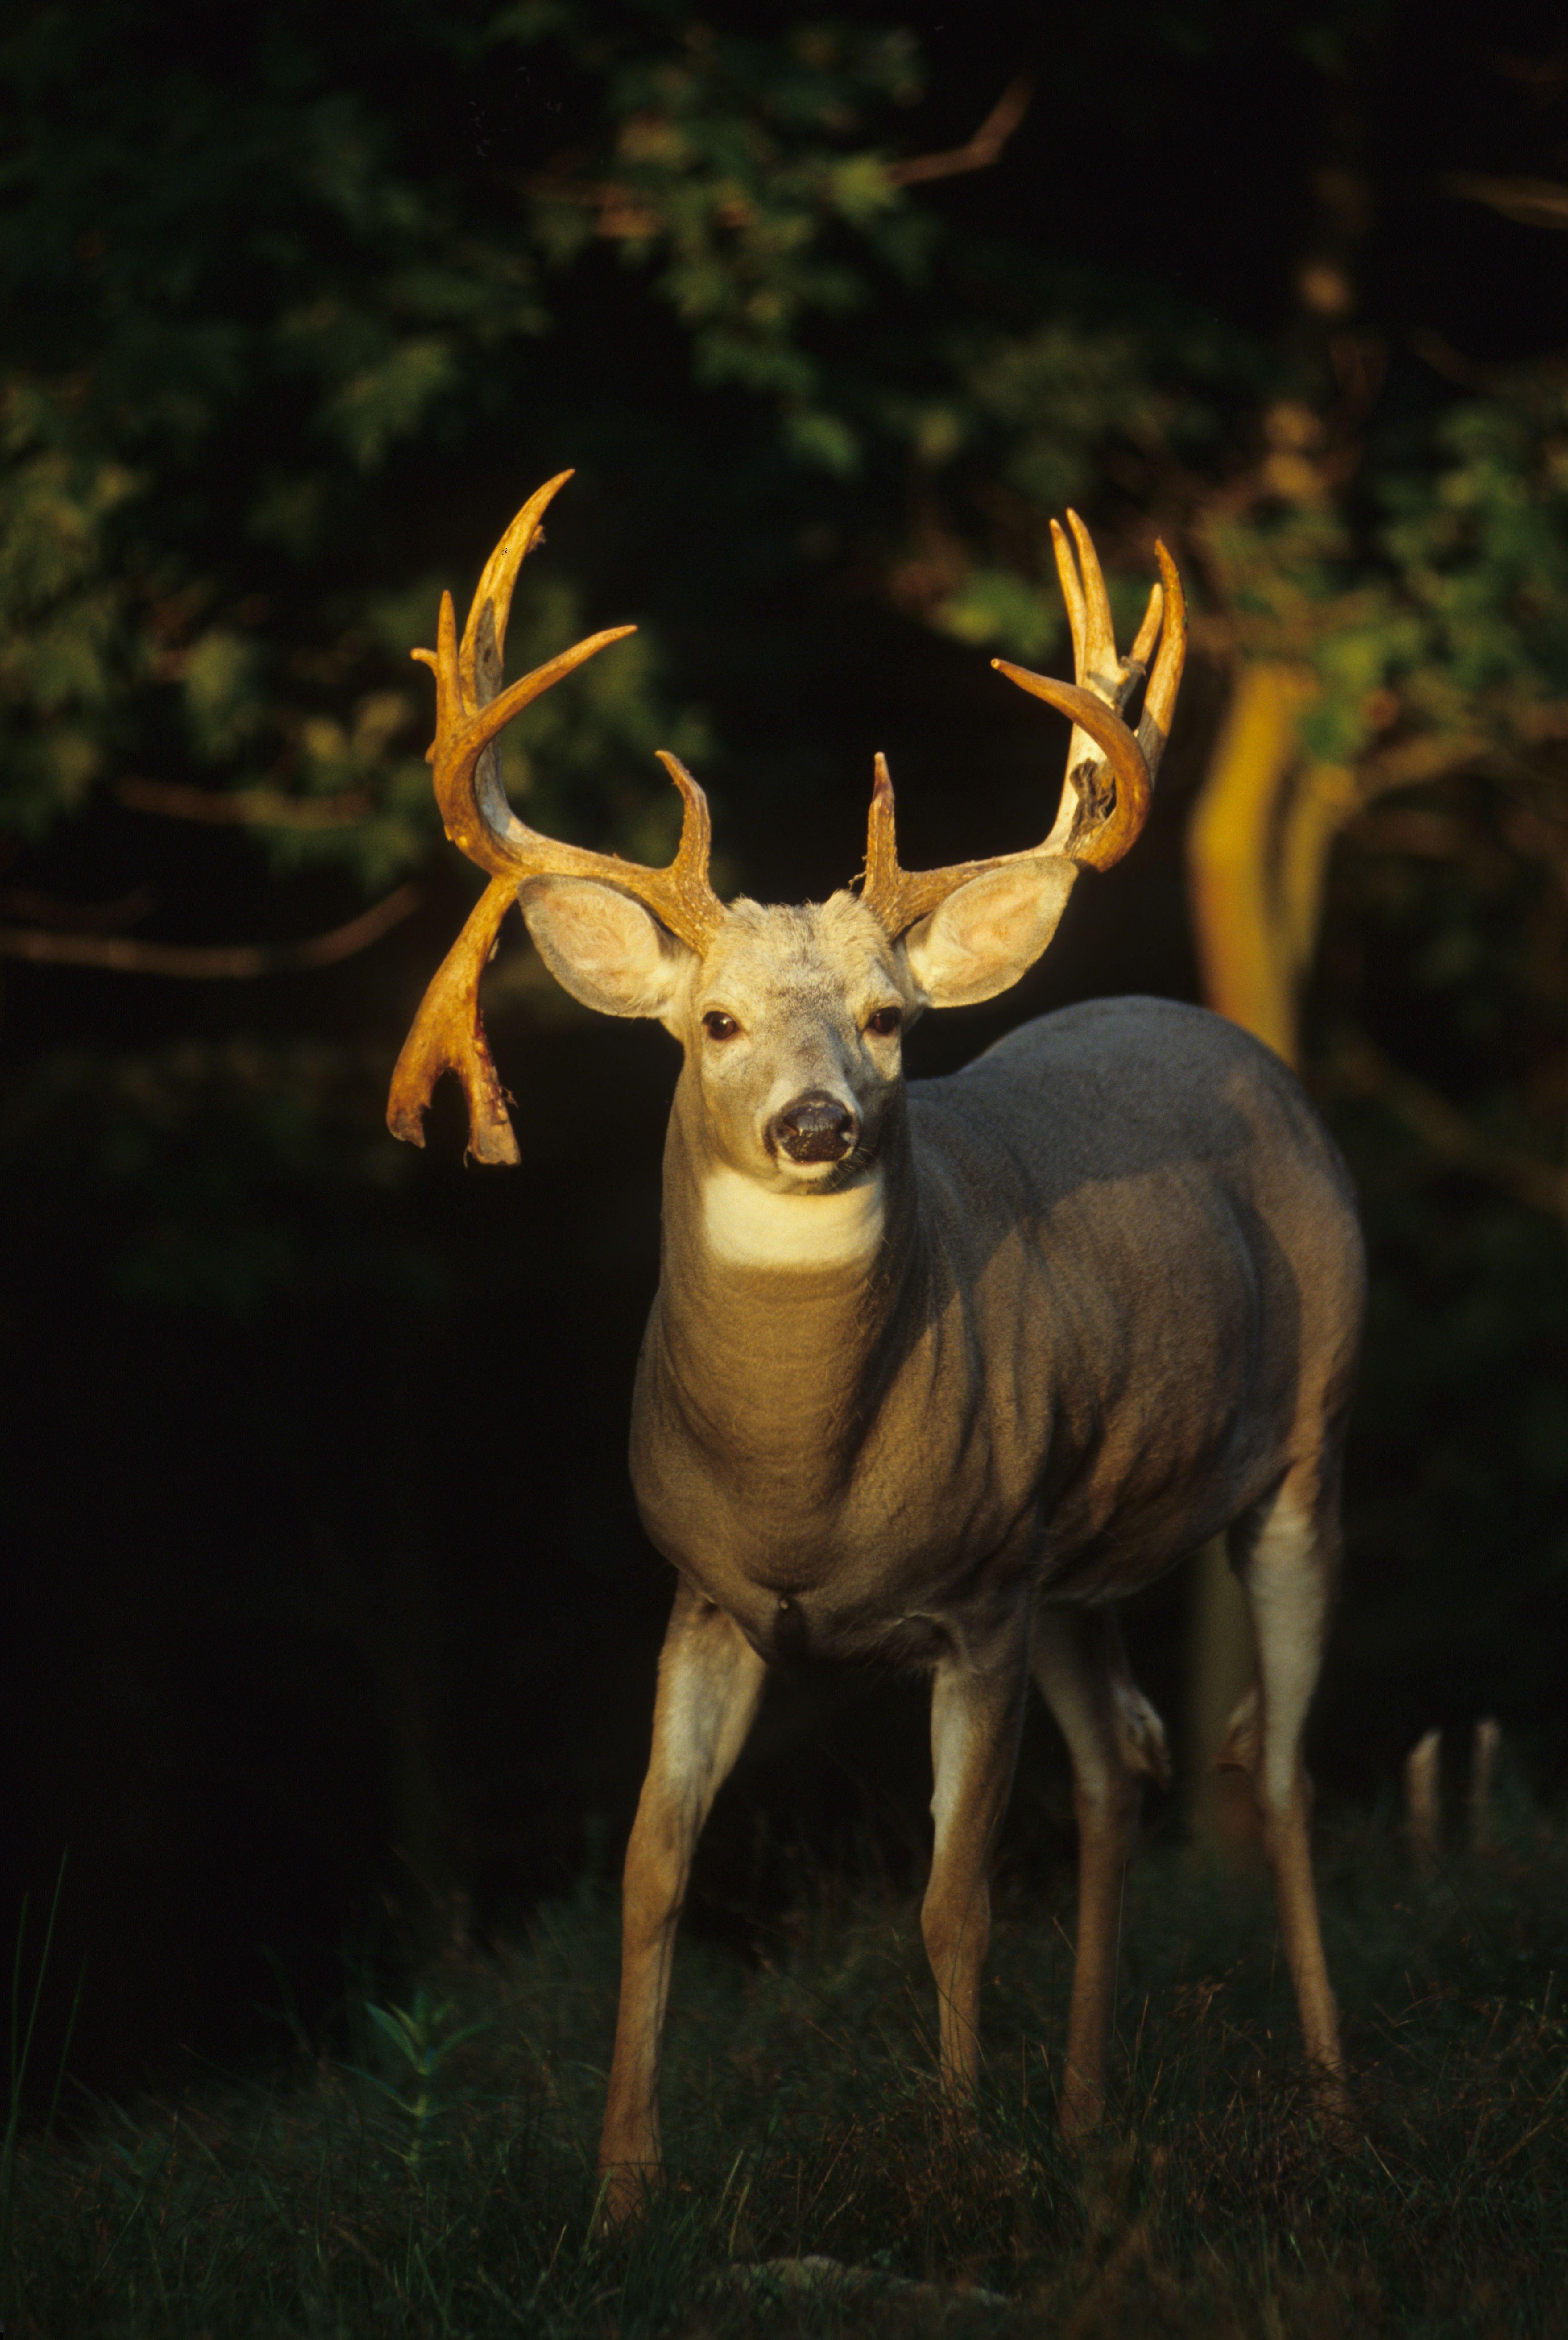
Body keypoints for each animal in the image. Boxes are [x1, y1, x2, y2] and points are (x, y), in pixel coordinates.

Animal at [391, 465, 1366, 2218]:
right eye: (712, 1022)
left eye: (891, 1019)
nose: (815, 1121)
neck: (806, 1476)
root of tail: (1222, 1029)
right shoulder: (710, 1594)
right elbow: (650, 1870)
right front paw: (619, 2189)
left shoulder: (971, 1603)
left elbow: (949, 1894)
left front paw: (957, 2153)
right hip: (1079, 1552)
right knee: (1125, 1760)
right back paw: (1087, 2116)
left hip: (1302, 1449)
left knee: (1273, 1766)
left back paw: (1325, 2111)